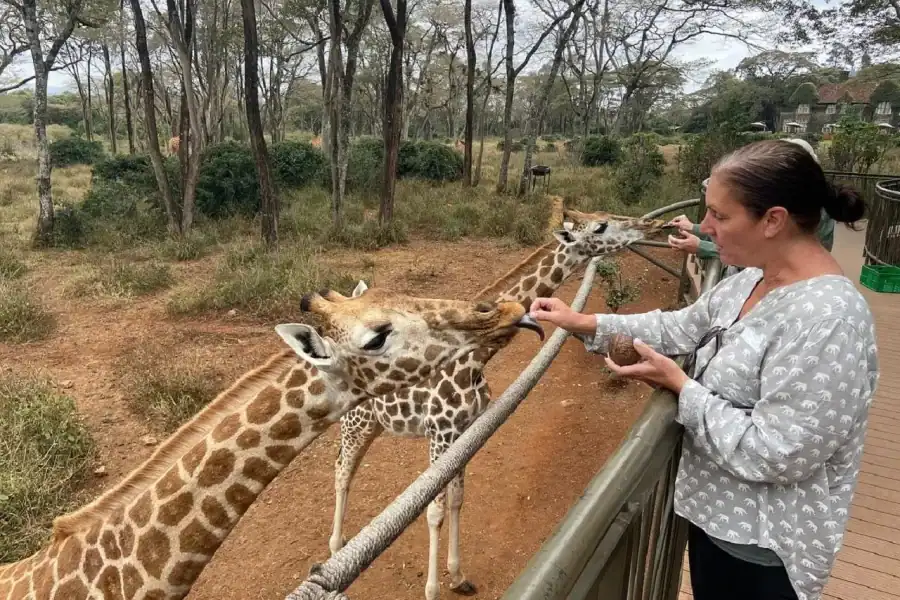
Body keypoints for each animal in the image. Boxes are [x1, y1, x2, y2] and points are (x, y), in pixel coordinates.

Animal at [329, 215, 671, 600]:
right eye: (600, 227)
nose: (651, 226)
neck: (476, 359)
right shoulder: (440, 432)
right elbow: (434, 512)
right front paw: (433, 589)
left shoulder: (463, 432)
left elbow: (457, 499)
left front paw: (458, 576)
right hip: (356, 421)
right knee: (342, 469)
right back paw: (336, 549)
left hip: (374, 424)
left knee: (344, 466)